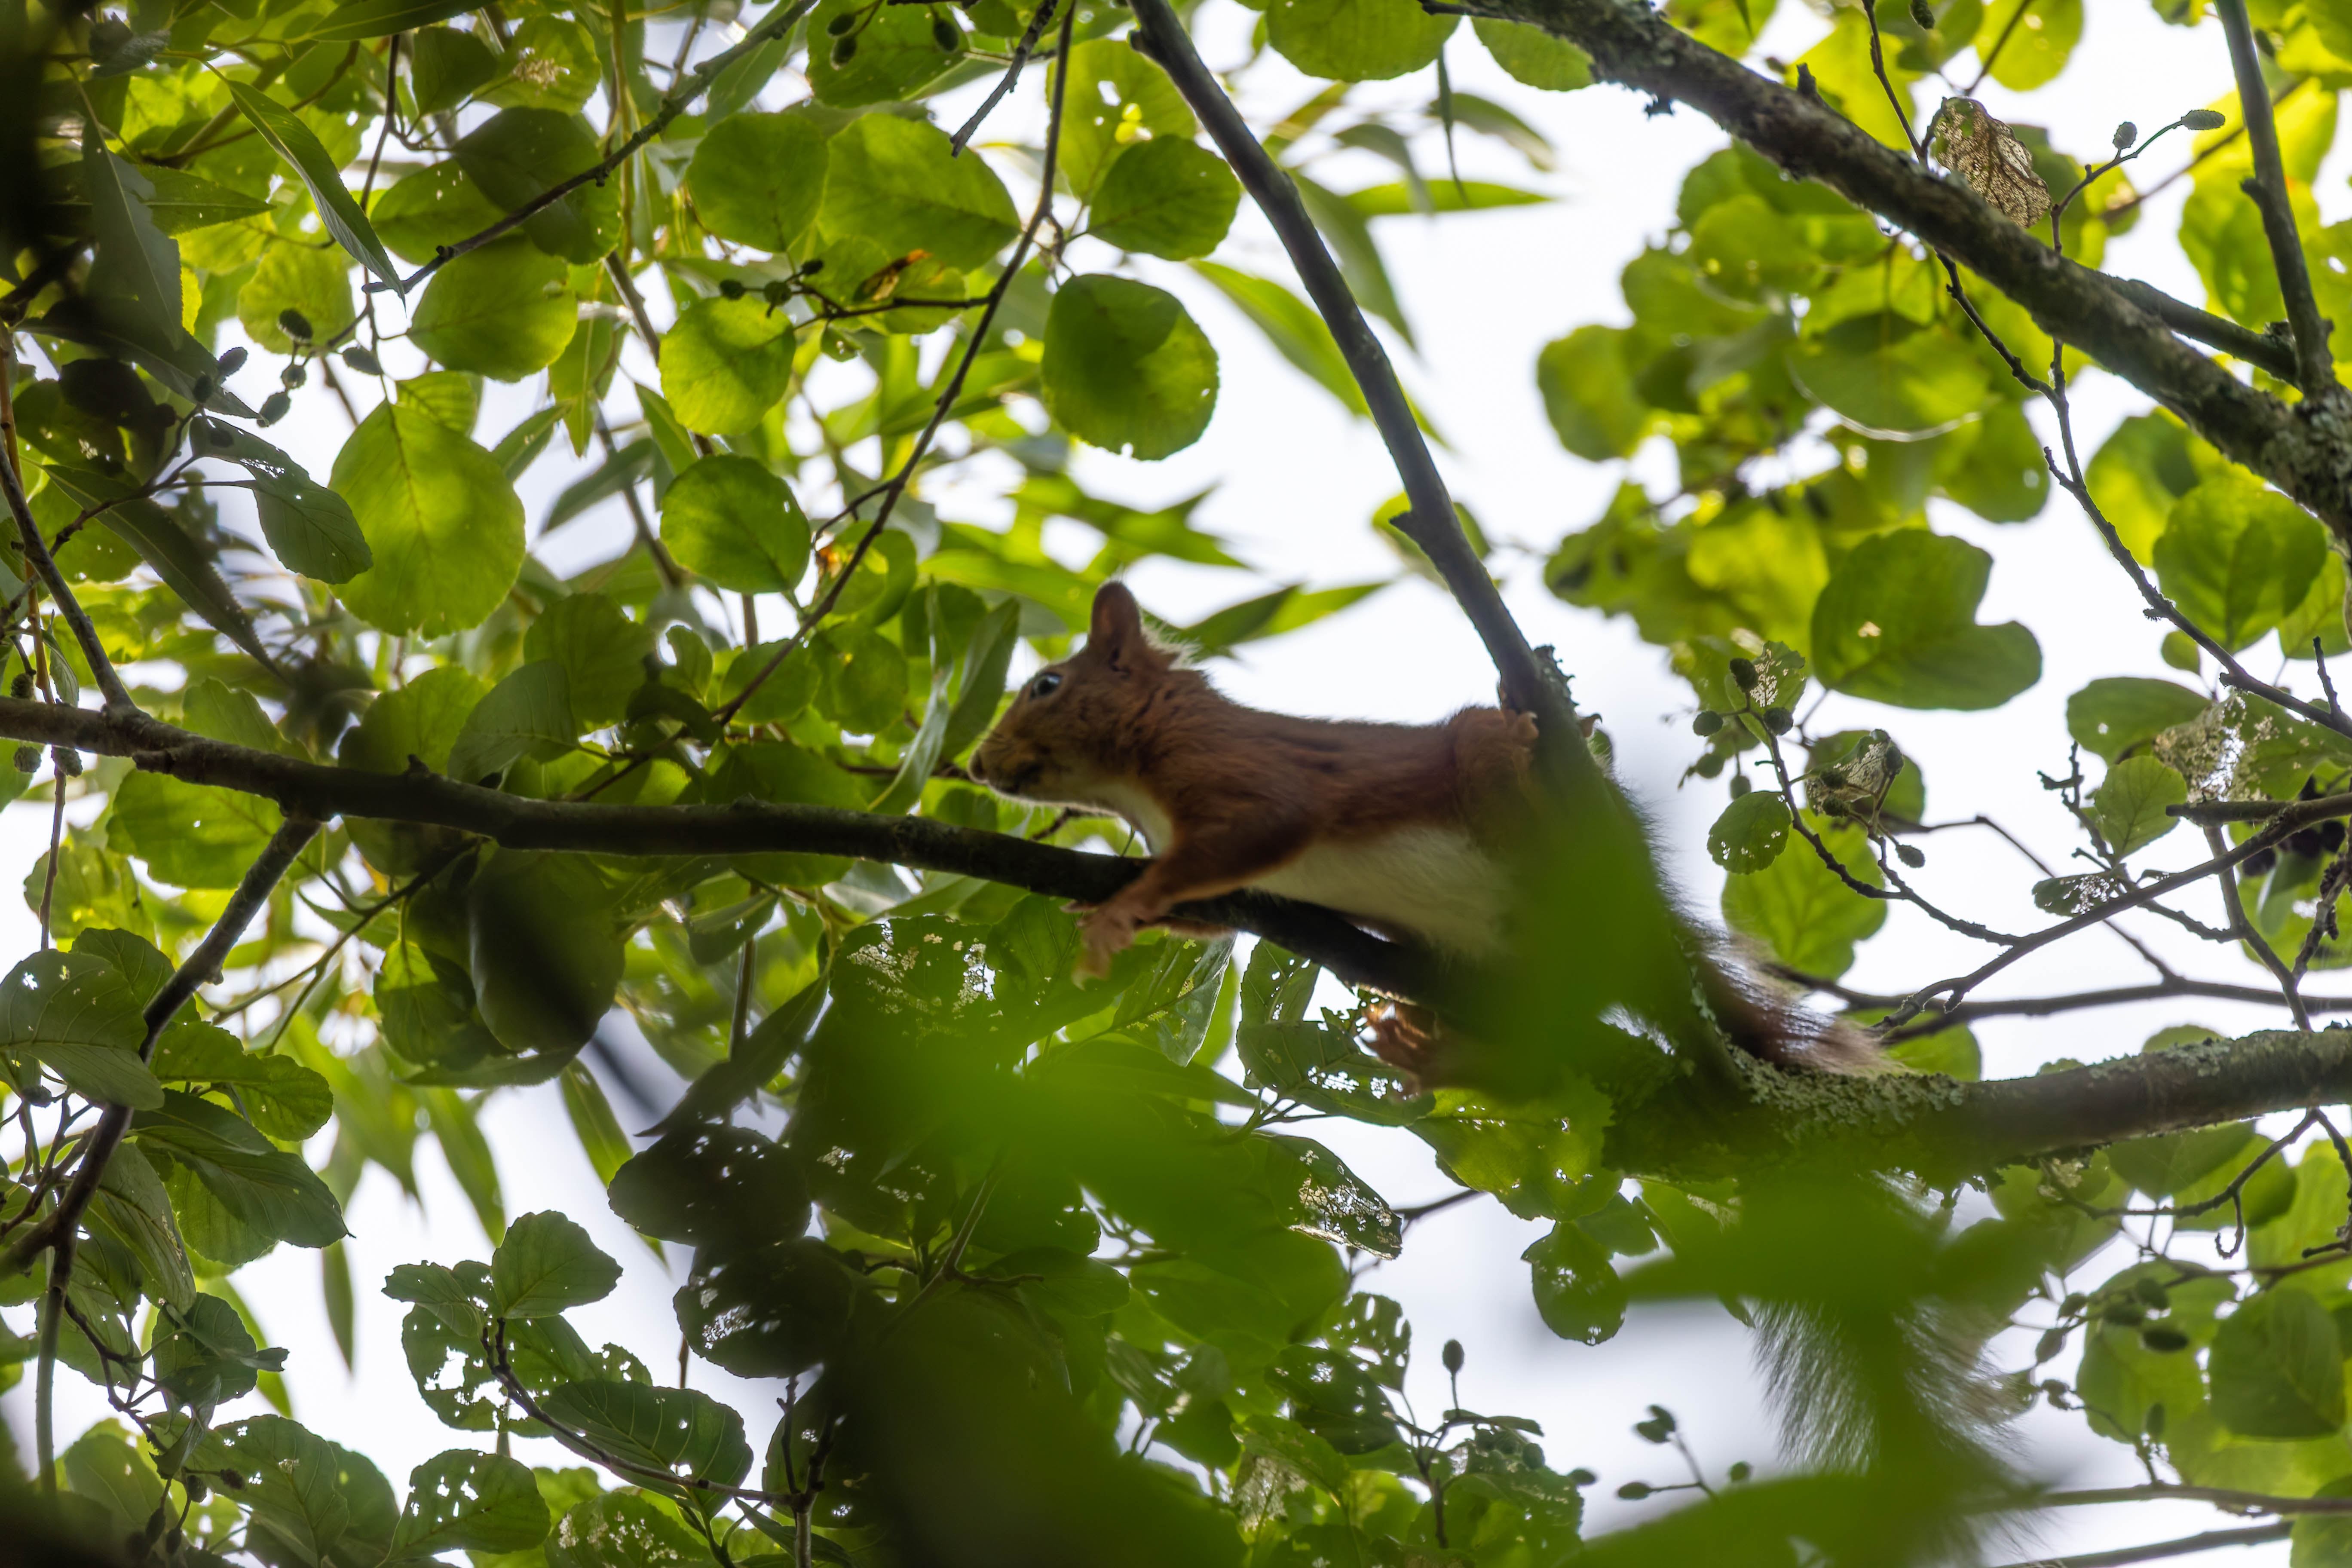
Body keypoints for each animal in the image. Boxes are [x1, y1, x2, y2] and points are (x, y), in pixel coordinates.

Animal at [969, 581, 1875, 1077]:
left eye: (1046, 684)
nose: (975, 764)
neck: (1135, 783)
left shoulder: (1242, 771)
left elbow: (1269, 824)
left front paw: (1120, 909)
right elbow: (1208, 908)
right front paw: (1113, 902)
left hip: (1518, 797)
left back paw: (1529, 738)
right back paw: (1441, 1055)